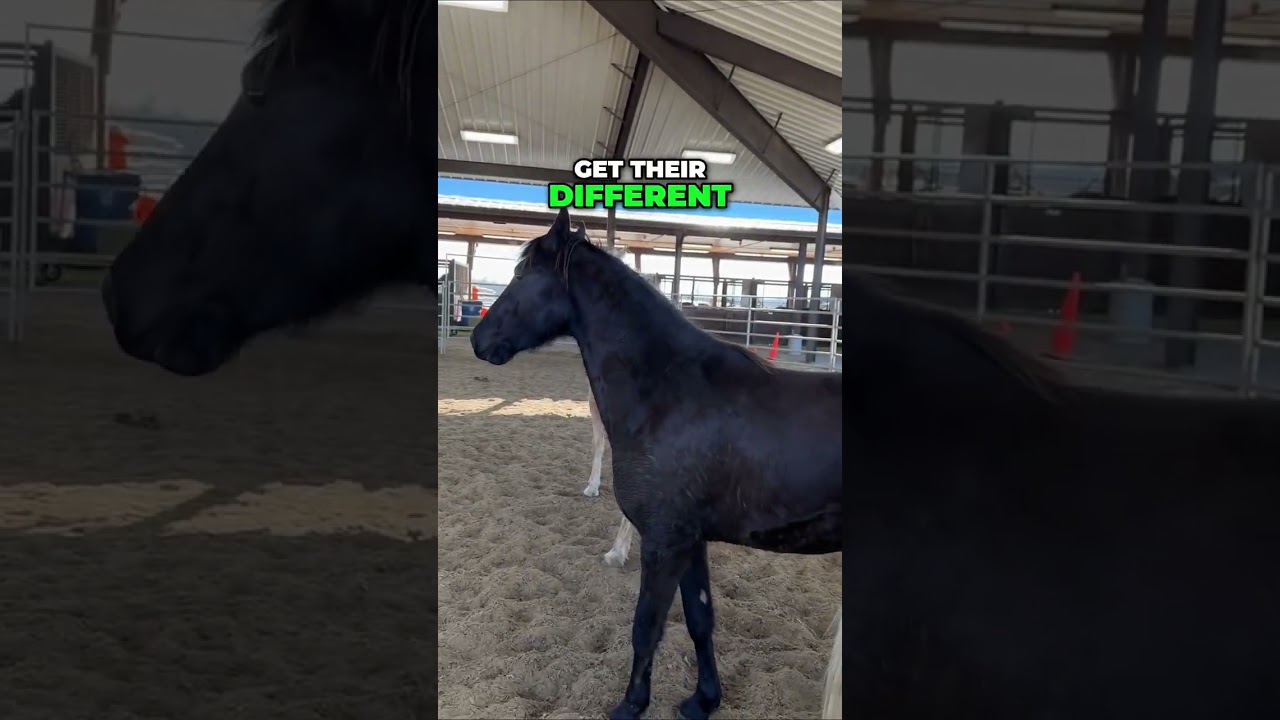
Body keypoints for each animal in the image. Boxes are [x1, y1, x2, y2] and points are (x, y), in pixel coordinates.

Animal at [471, 207, 843, 720]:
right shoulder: (691, 540)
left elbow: (646, 626)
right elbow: (700, 618)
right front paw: (703, 700)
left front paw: (631, 705)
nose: (477, 339)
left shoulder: (664, 542)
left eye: (523, 274)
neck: (670, 393)